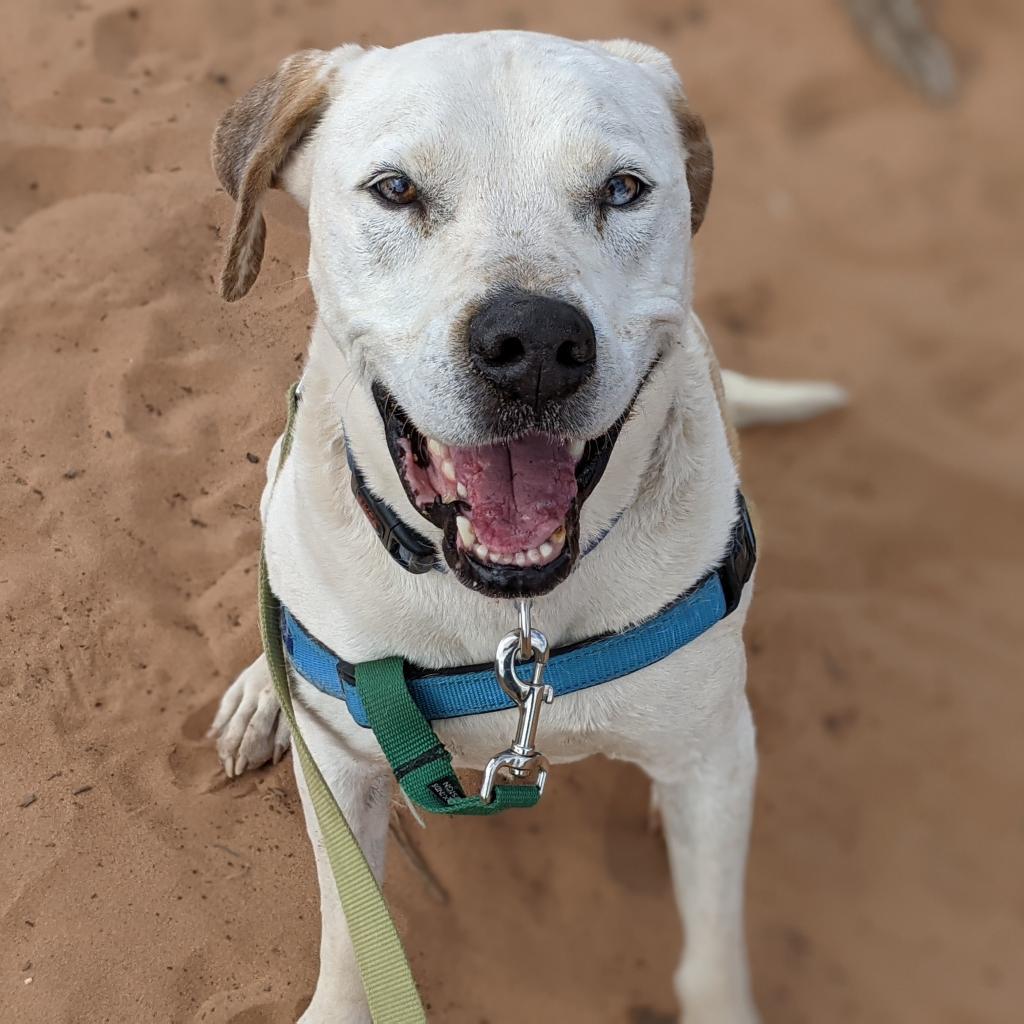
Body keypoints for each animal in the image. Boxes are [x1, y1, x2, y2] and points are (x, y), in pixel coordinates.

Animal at [205, 32, 839, 1024]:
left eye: (624, 188)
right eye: (396, 189)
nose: (534, 343)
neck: (512, 622)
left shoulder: (714, 766)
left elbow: (712, 954)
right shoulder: (342, 775)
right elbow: (352, 939)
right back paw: (261, 690)